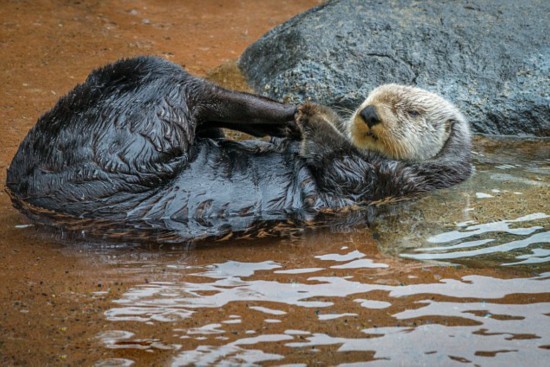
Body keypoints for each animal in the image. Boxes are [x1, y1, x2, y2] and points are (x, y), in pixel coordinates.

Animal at [4, 56, 474, 243]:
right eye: (369, 96)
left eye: (410, 110)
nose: (368, 112)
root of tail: (20, 184)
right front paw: (316, 119)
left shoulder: (391, 181)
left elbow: (340, 163)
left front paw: (314, 119)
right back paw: (283, 118)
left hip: (132, 130)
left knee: (191, 92)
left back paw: (287, 112)